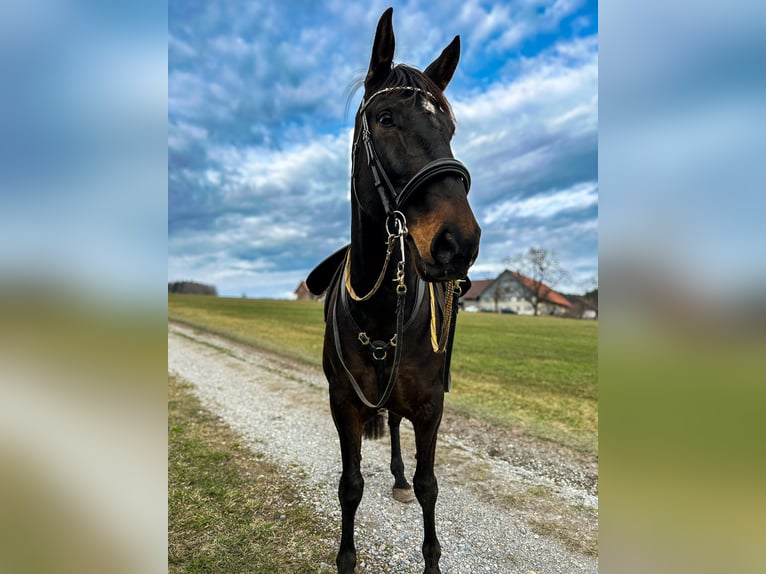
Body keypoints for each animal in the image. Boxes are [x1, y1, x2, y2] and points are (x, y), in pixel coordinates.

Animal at [306, 9, 480, 574]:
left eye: (450, 129)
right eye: (384, 118)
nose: (458, 242)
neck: (382, 312)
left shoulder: (430, 405)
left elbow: (429, 487)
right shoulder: (343, 403)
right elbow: (350, 486)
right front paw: (346, 557)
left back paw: (401, 477)